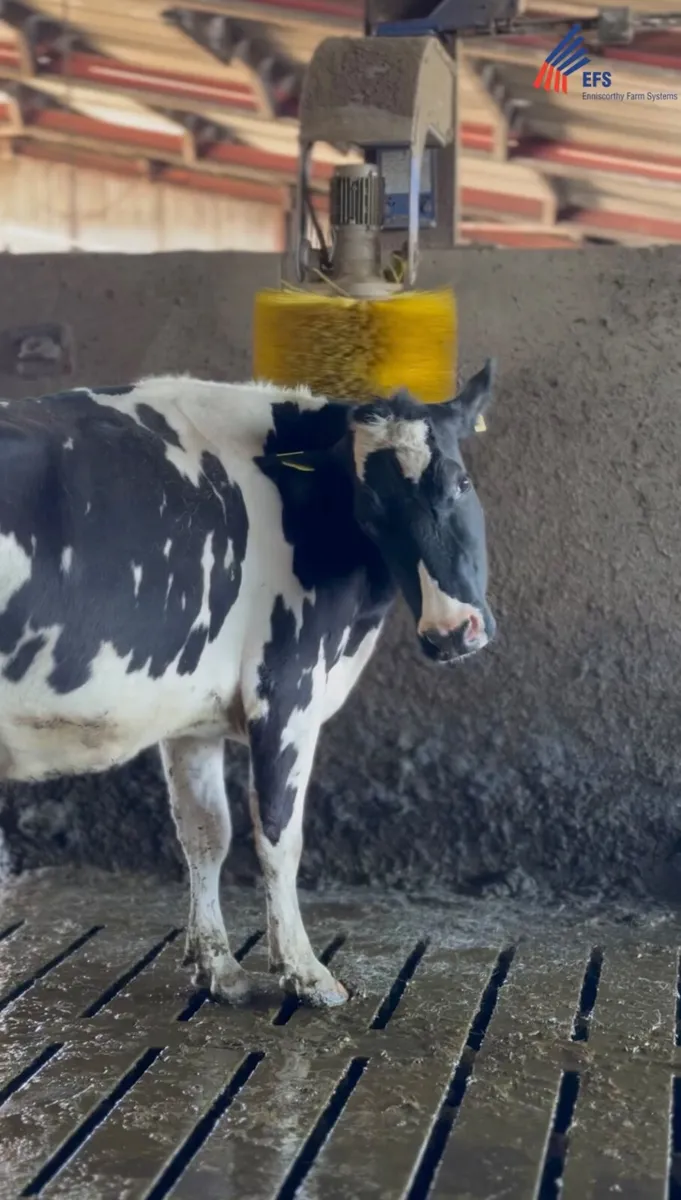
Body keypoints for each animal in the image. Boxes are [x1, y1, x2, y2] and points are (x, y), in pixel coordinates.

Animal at [0, 360, 495, 1007]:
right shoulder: (286, 689)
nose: (452, 631)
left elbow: (206, 831)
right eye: (369, 511)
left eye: (461, 483)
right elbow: (280, 835)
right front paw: (306, 973)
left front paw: (220, 967)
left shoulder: (190, 713)